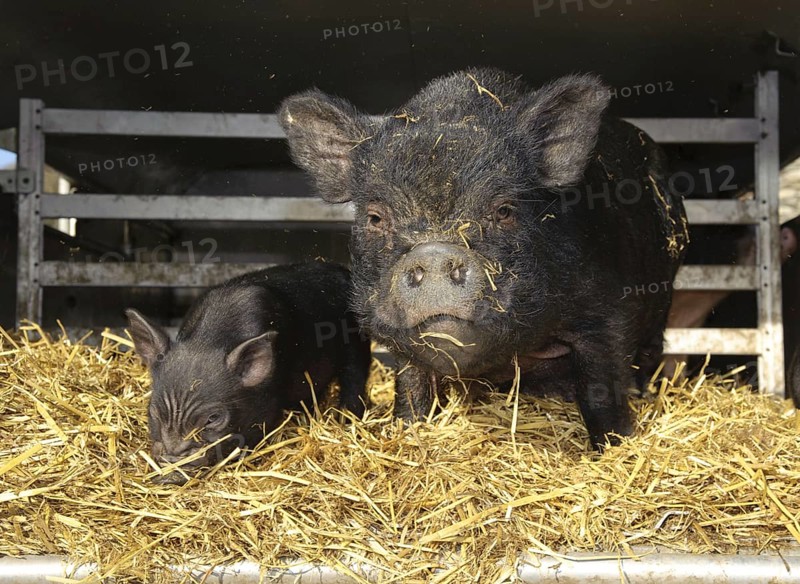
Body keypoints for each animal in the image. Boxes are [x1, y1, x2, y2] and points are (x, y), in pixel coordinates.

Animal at [125, 261, 371, 478]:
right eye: (154, 412)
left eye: (213, 418)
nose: (172, 462)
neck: (208, 341)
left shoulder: (269, 403)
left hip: (356, 344)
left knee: (355, 378)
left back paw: (347, 419)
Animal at [279, 68, 688, 449]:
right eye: (376, 217)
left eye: (504, 210)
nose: (435, 254)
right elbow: (411, 388)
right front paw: (408, 430)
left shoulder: (607, 312)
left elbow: (602, 392)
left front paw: (613, 446)